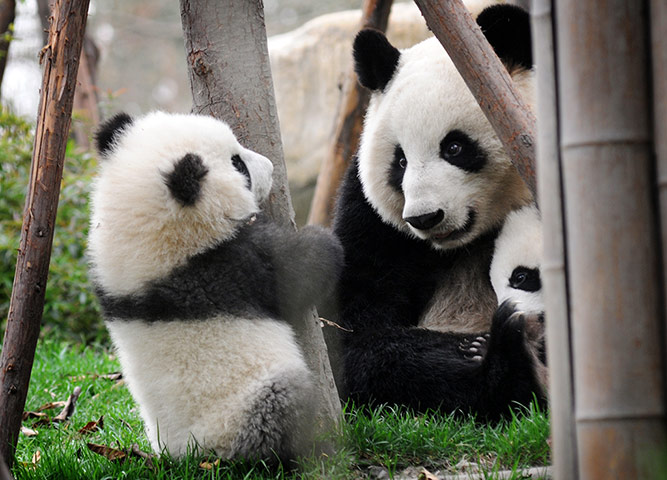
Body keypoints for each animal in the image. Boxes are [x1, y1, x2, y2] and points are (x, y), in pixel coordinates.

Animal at [88, 110, 344, 464]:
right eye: (238, 164)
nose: (271, 166)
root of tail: (187, 455)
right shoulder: (228, 268)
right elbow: (300, 274)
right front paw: (324, 240)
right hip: (241, 409)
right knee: (280, 406)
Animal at [324, 2, 544, 412]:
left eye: (454, 147)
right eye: (400, 162)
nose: (425, 218)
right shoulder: (373, 223)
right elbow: (357, 339)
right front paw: (487, 352)